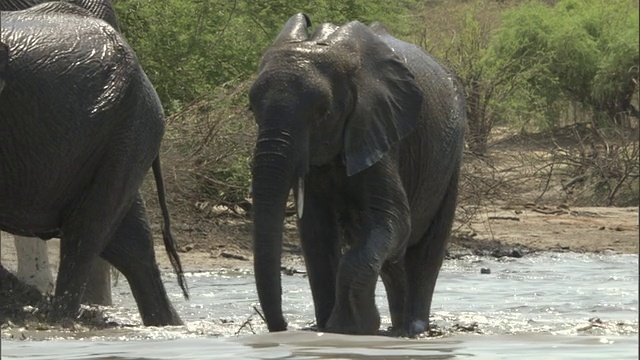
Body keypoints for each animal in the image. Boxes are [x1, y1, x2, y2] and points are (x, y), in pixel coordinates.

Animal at [249, 12, 464, 336]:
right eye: (252, 109)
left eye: (323, 112)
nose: (282, 326)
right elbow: (316, 232)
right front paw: (326, 326)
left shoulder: (378, 124)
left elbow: (394, 220)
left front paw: (350, 328)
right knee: (393, 261)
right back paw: (397, 328)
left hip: (453, 152)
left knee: (425, 251)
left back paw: (414, 329)